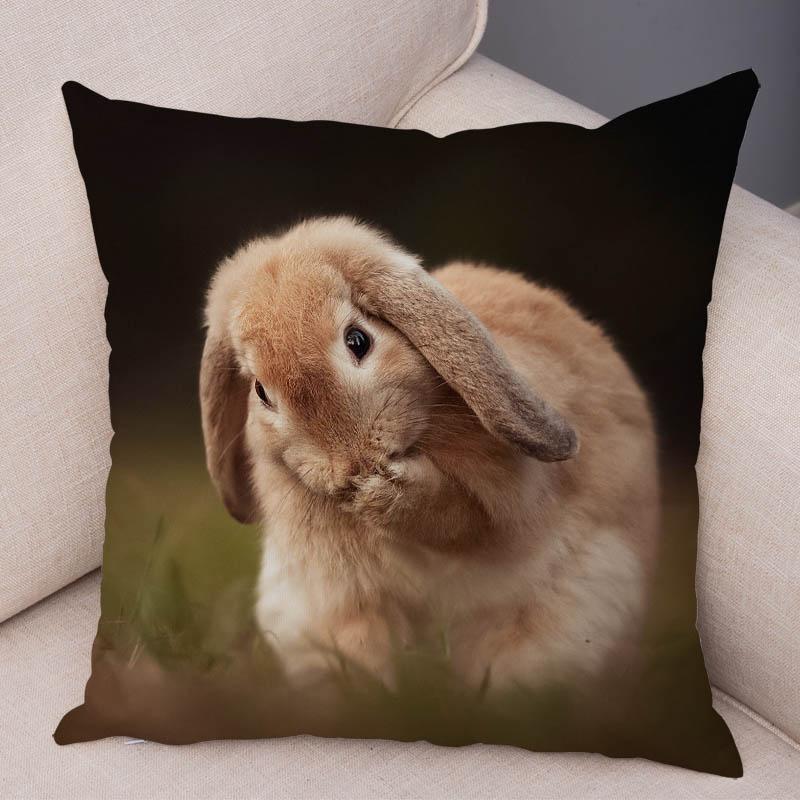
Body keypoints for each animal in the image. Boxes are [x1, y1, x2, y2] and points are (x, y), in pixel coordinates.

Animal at [199, 216, 659, 693]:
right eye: (260, 390)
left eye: (358, 340)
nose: (351, 464)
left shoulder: (506, 498)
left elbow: (458, 517)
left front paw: (380, 493)